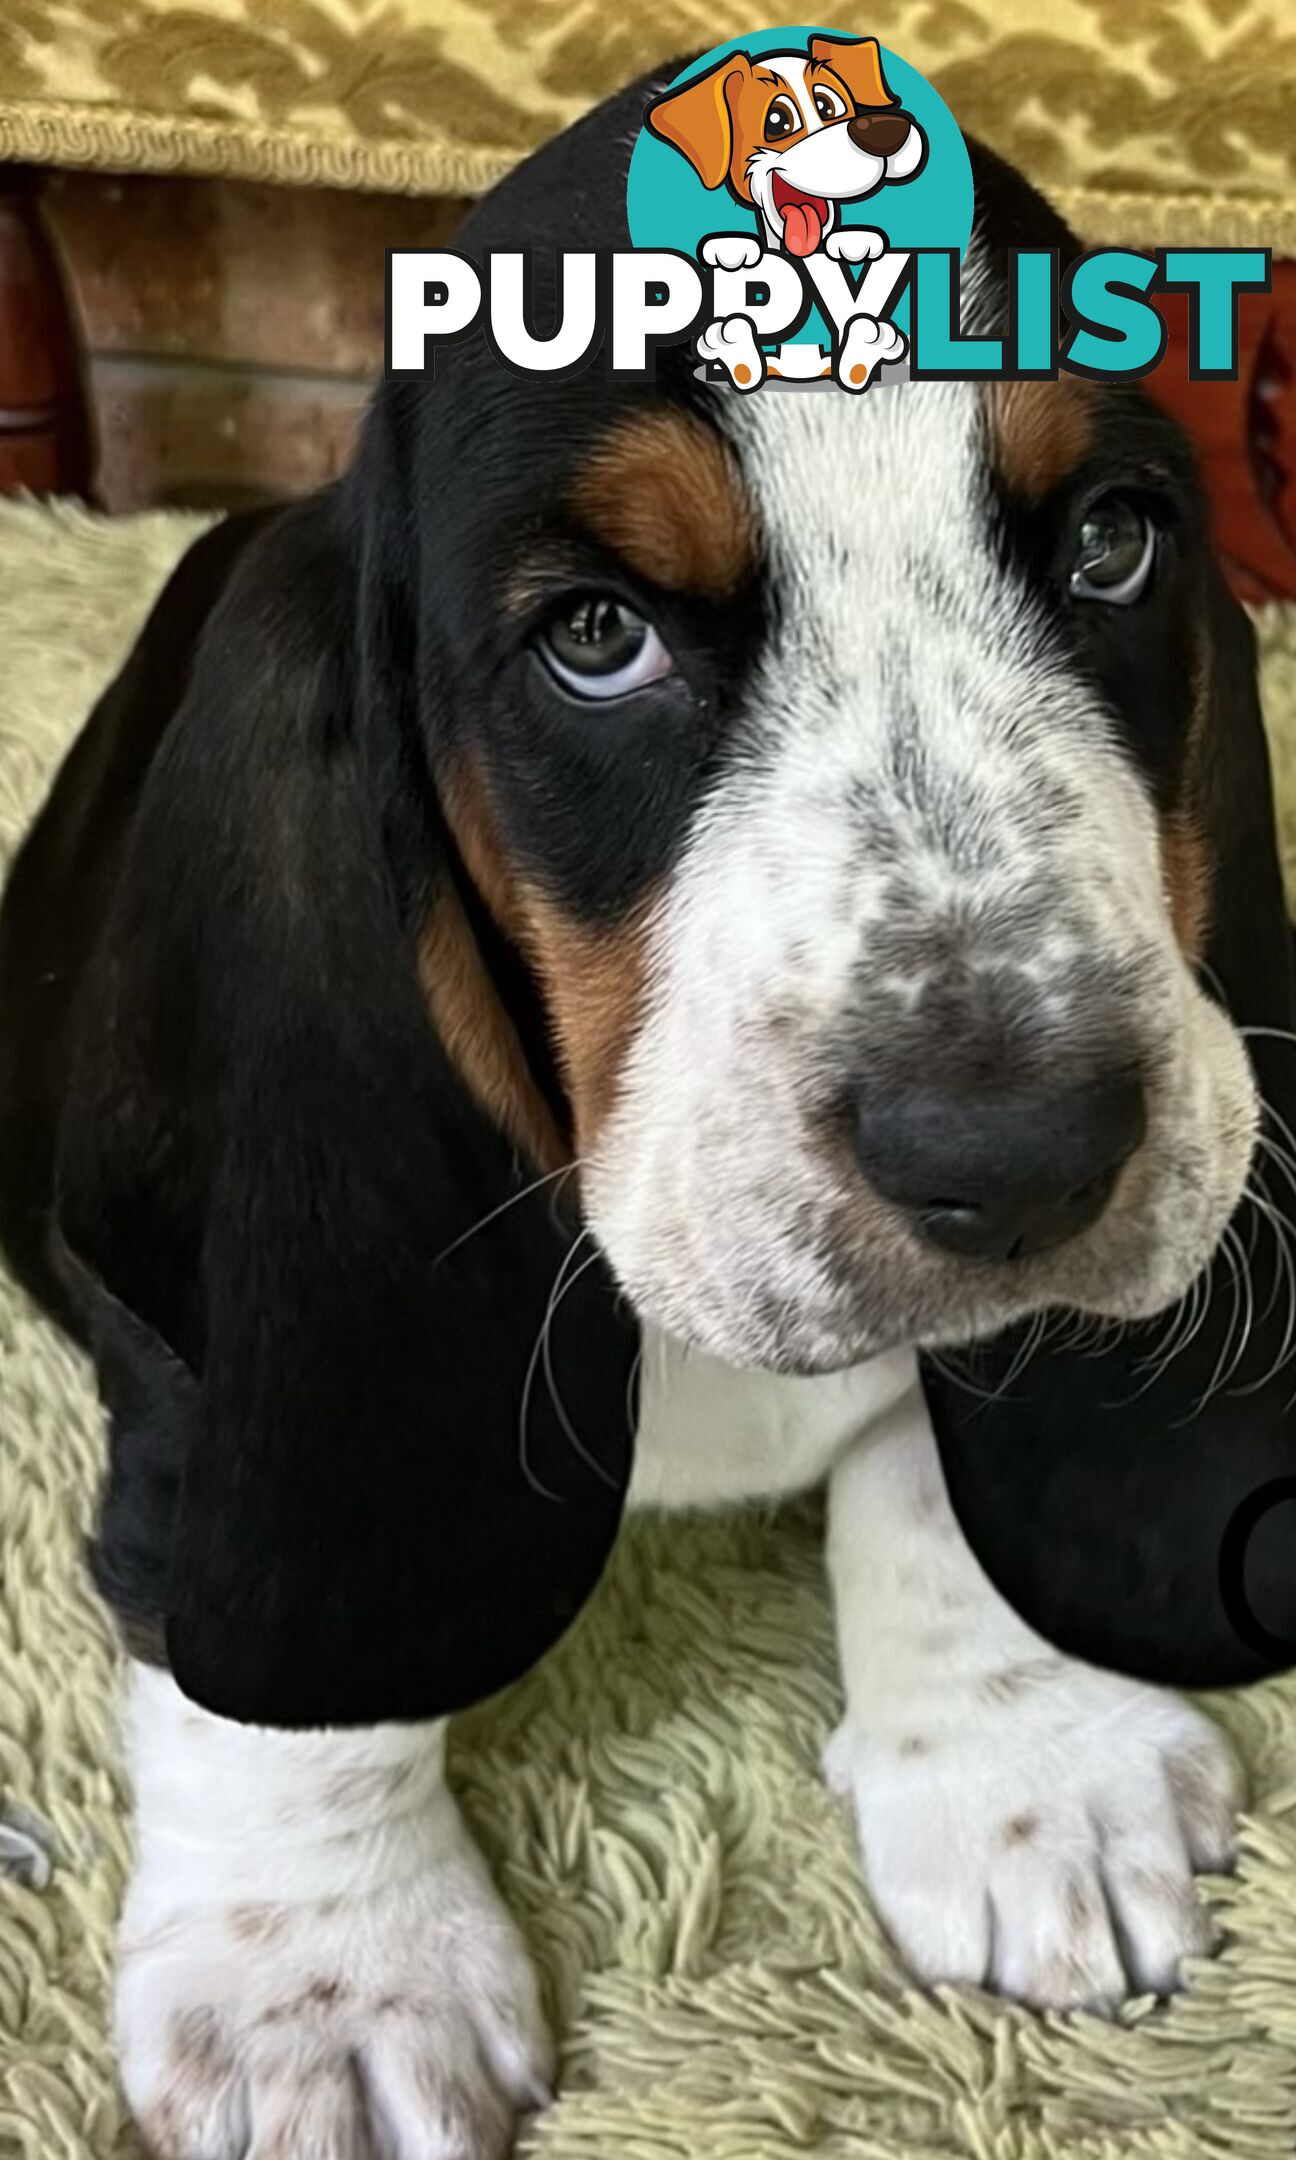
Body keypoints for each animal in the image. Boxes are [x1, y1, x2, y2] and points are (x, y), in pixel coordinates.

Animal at [2, 59, 1296, 2160]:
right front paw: (322, 1983)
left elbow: (935, 1456)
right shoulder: (214, 1381)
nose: (1018, 1159)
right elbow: (263, 1678)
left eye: (1114, 544)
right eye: (595, 639)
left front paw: (1030, 1758)